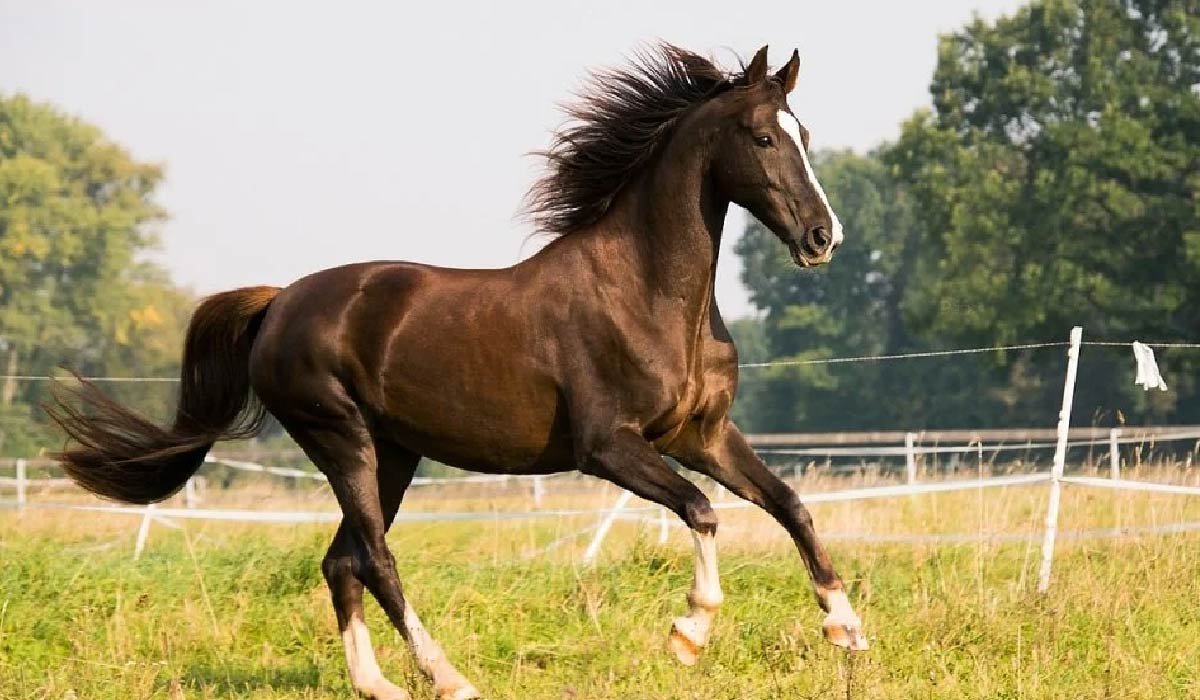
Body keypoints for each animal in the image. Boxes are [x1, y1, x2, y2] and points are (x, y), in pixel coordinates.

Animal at [49, 44, 866, 700]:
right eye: (763, 136)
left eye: (805, 134)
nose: (822, 238)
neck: (648, 294)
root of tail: (279, 302)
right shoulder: (609, 447)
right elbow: (701, 510)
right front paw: (689, 634)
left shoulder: (702, 434)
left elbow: (790, 504)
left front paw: (847, 628)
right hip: (342, 440)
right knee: (375, 560)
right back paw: (448, 677)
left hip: (393, 455)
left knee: (340, 562)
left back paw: (378, 686)